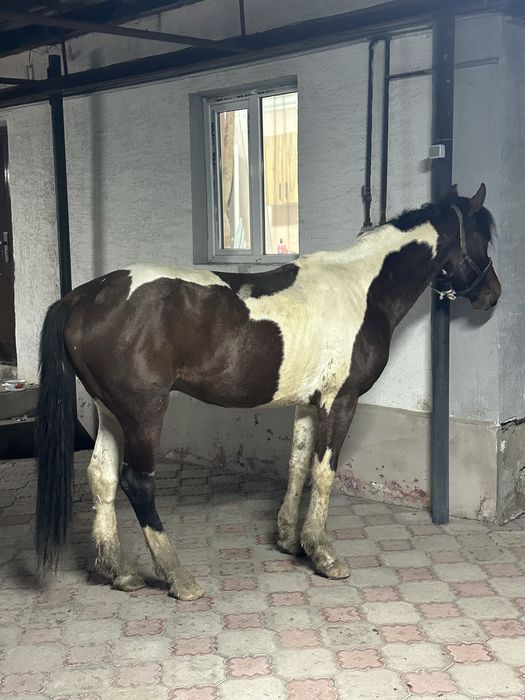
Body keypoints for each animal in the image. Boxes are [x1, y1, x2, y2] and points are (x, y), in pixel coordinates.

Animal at [35, 183, 501, 601]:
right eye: (482, 238)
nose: (493, 295)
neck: (361, 289)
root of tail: (85, 296)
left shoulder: (309, 405)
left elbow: (297, 466)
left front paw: (290, 541)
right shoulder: (340, 401)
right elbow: (324, 474)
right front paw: (324, 555)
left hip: (110, 412)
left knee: (102, 477)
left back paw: (120, 572)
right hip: (144, 412)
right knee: (137, 482)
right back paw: (178, 578)